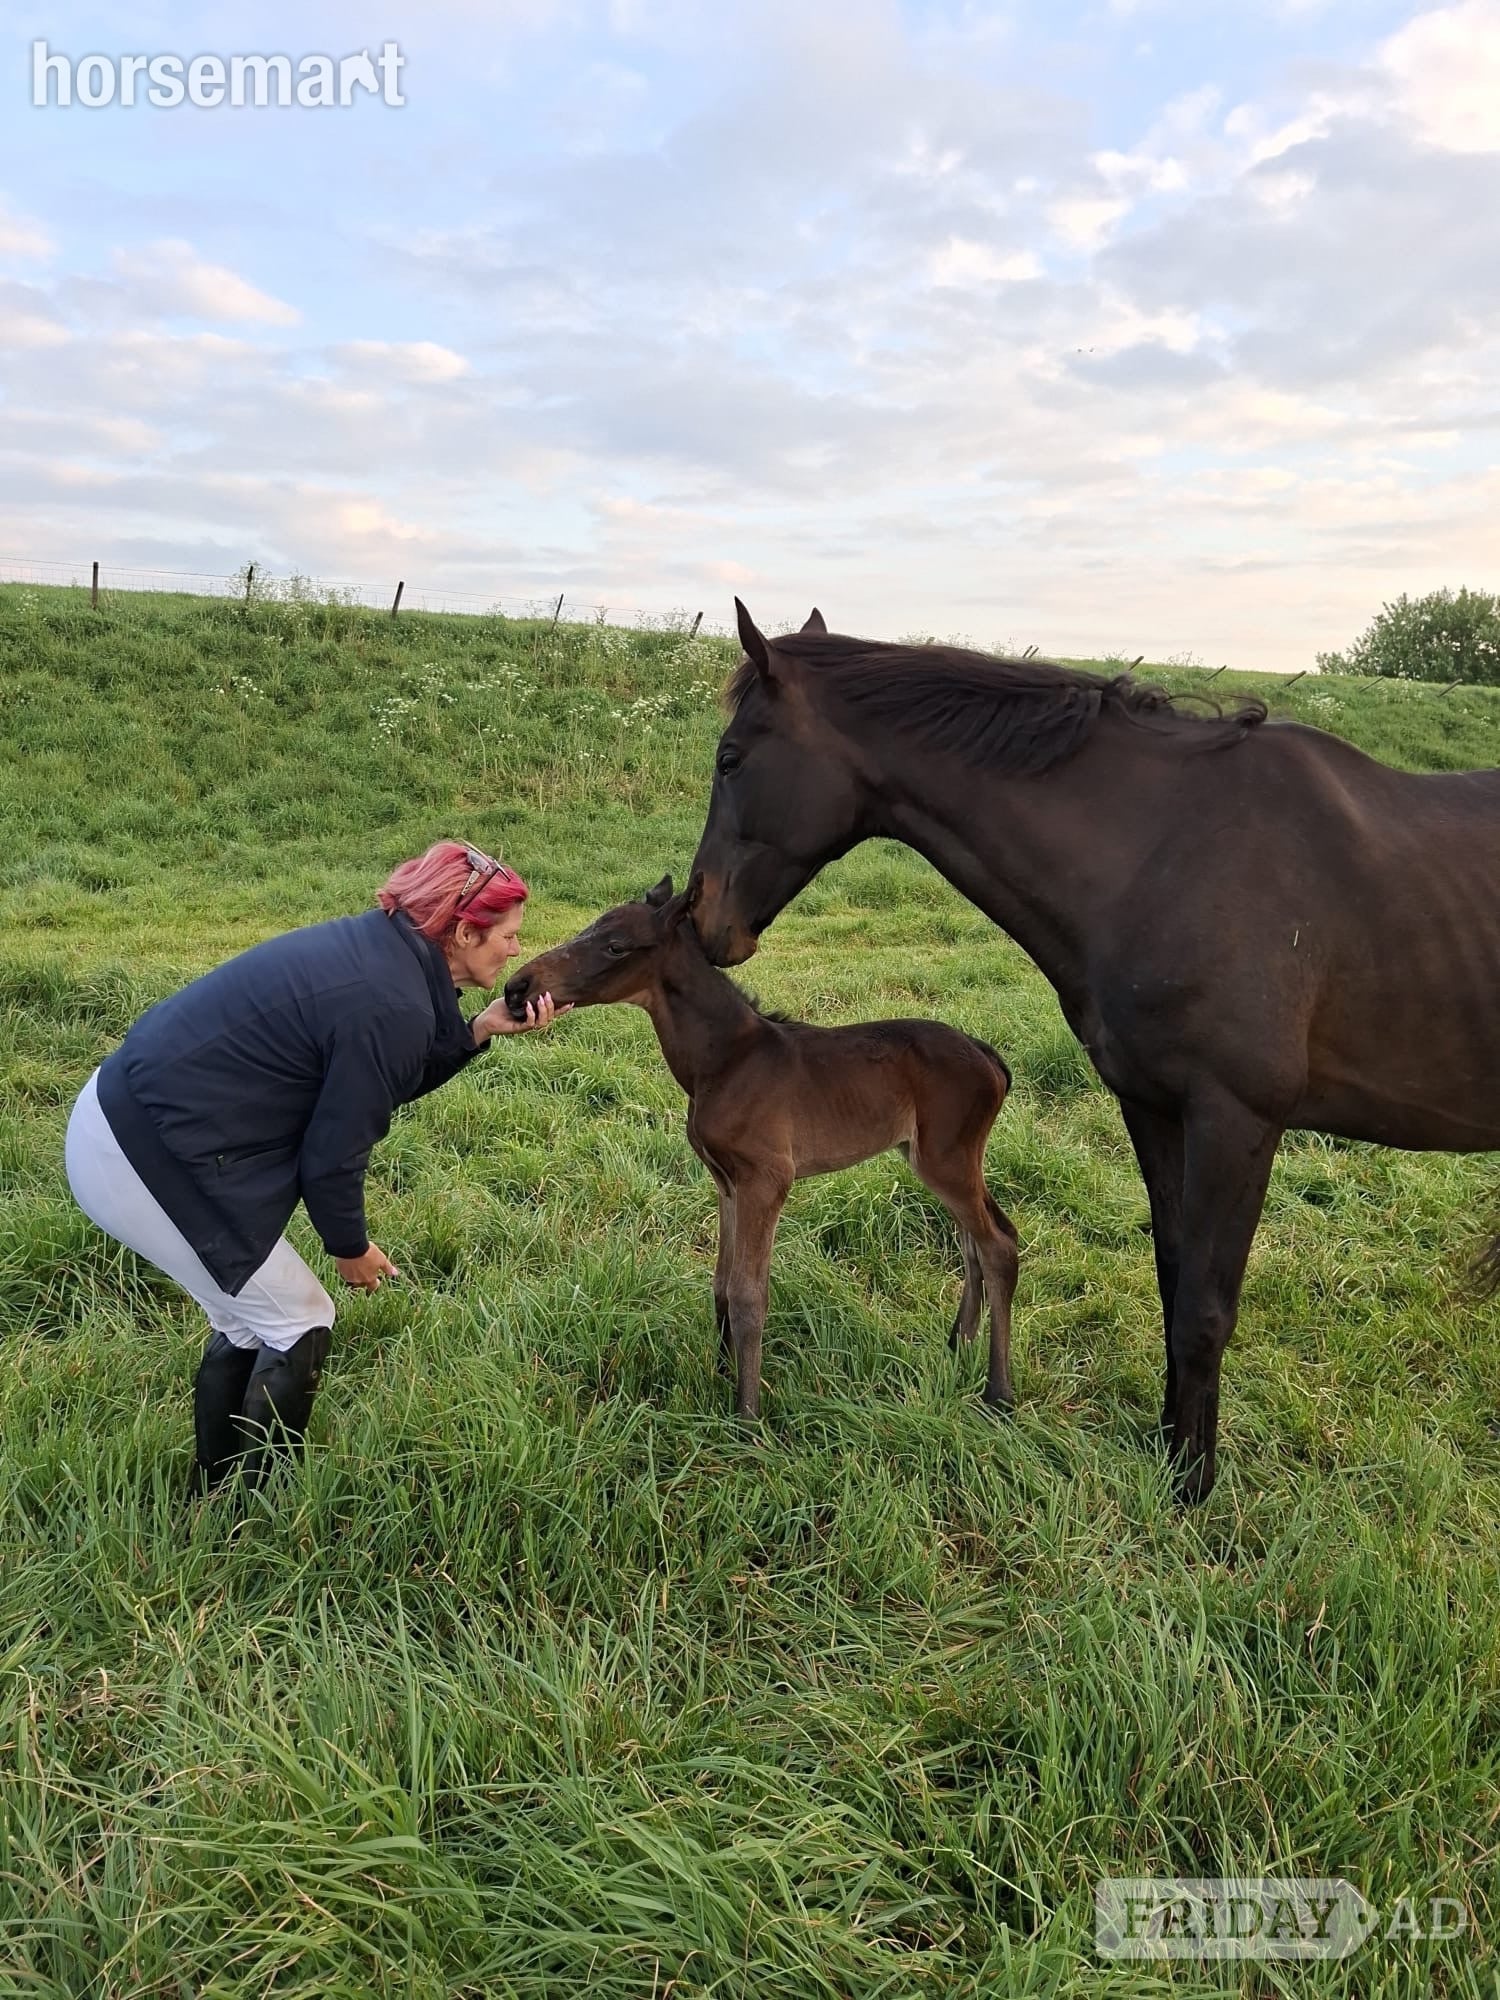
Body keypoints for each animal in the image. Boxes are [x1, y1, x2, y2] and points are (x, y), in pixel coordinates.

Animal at [505, 876, 1019, 1421]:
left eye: (616, 946)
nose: (517, 988)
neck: (725, 1060)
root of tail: (987, 1056)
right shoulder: (726, 1182)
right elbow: (721, 1284)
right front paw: (720, 1372)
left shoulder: (766, 1179)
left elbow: (749, 1294)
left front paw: (747, 1414)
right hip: (932, 1158)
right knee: (974, 1242)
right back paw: (957, 1346)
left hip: (947, 1159)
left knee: (997, 1246)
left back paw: (998, 1391)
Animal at [687, 600, 1500, 1502]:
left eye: (730, 758)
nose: (699, 915)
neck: (1163, 852)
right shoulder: (1154, 1107)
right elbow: (1175, 1281)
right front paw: (1171, 1449)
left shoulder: (1237, 1120)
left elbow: (1206, 1308)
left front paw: (1192, 1490)